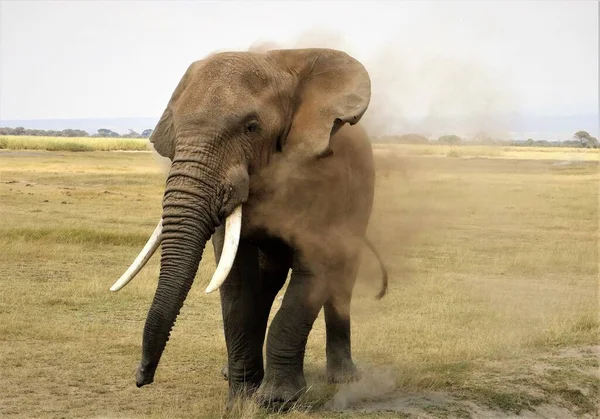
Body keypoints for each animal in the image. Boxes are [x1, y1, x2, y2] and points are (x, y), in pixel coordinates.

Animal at [109, 47, 386, 408]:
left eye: (252, 127)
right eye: (176, 128)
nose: (142, 378)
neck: (281, 62)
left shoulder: (327, 180)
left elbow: (314, 272)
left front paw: (276, 402)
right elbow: (237, 279)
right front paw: (241, 399)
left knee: (340, 282)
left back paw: (345, 379)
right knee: (266, 285)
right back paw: (233, 374)